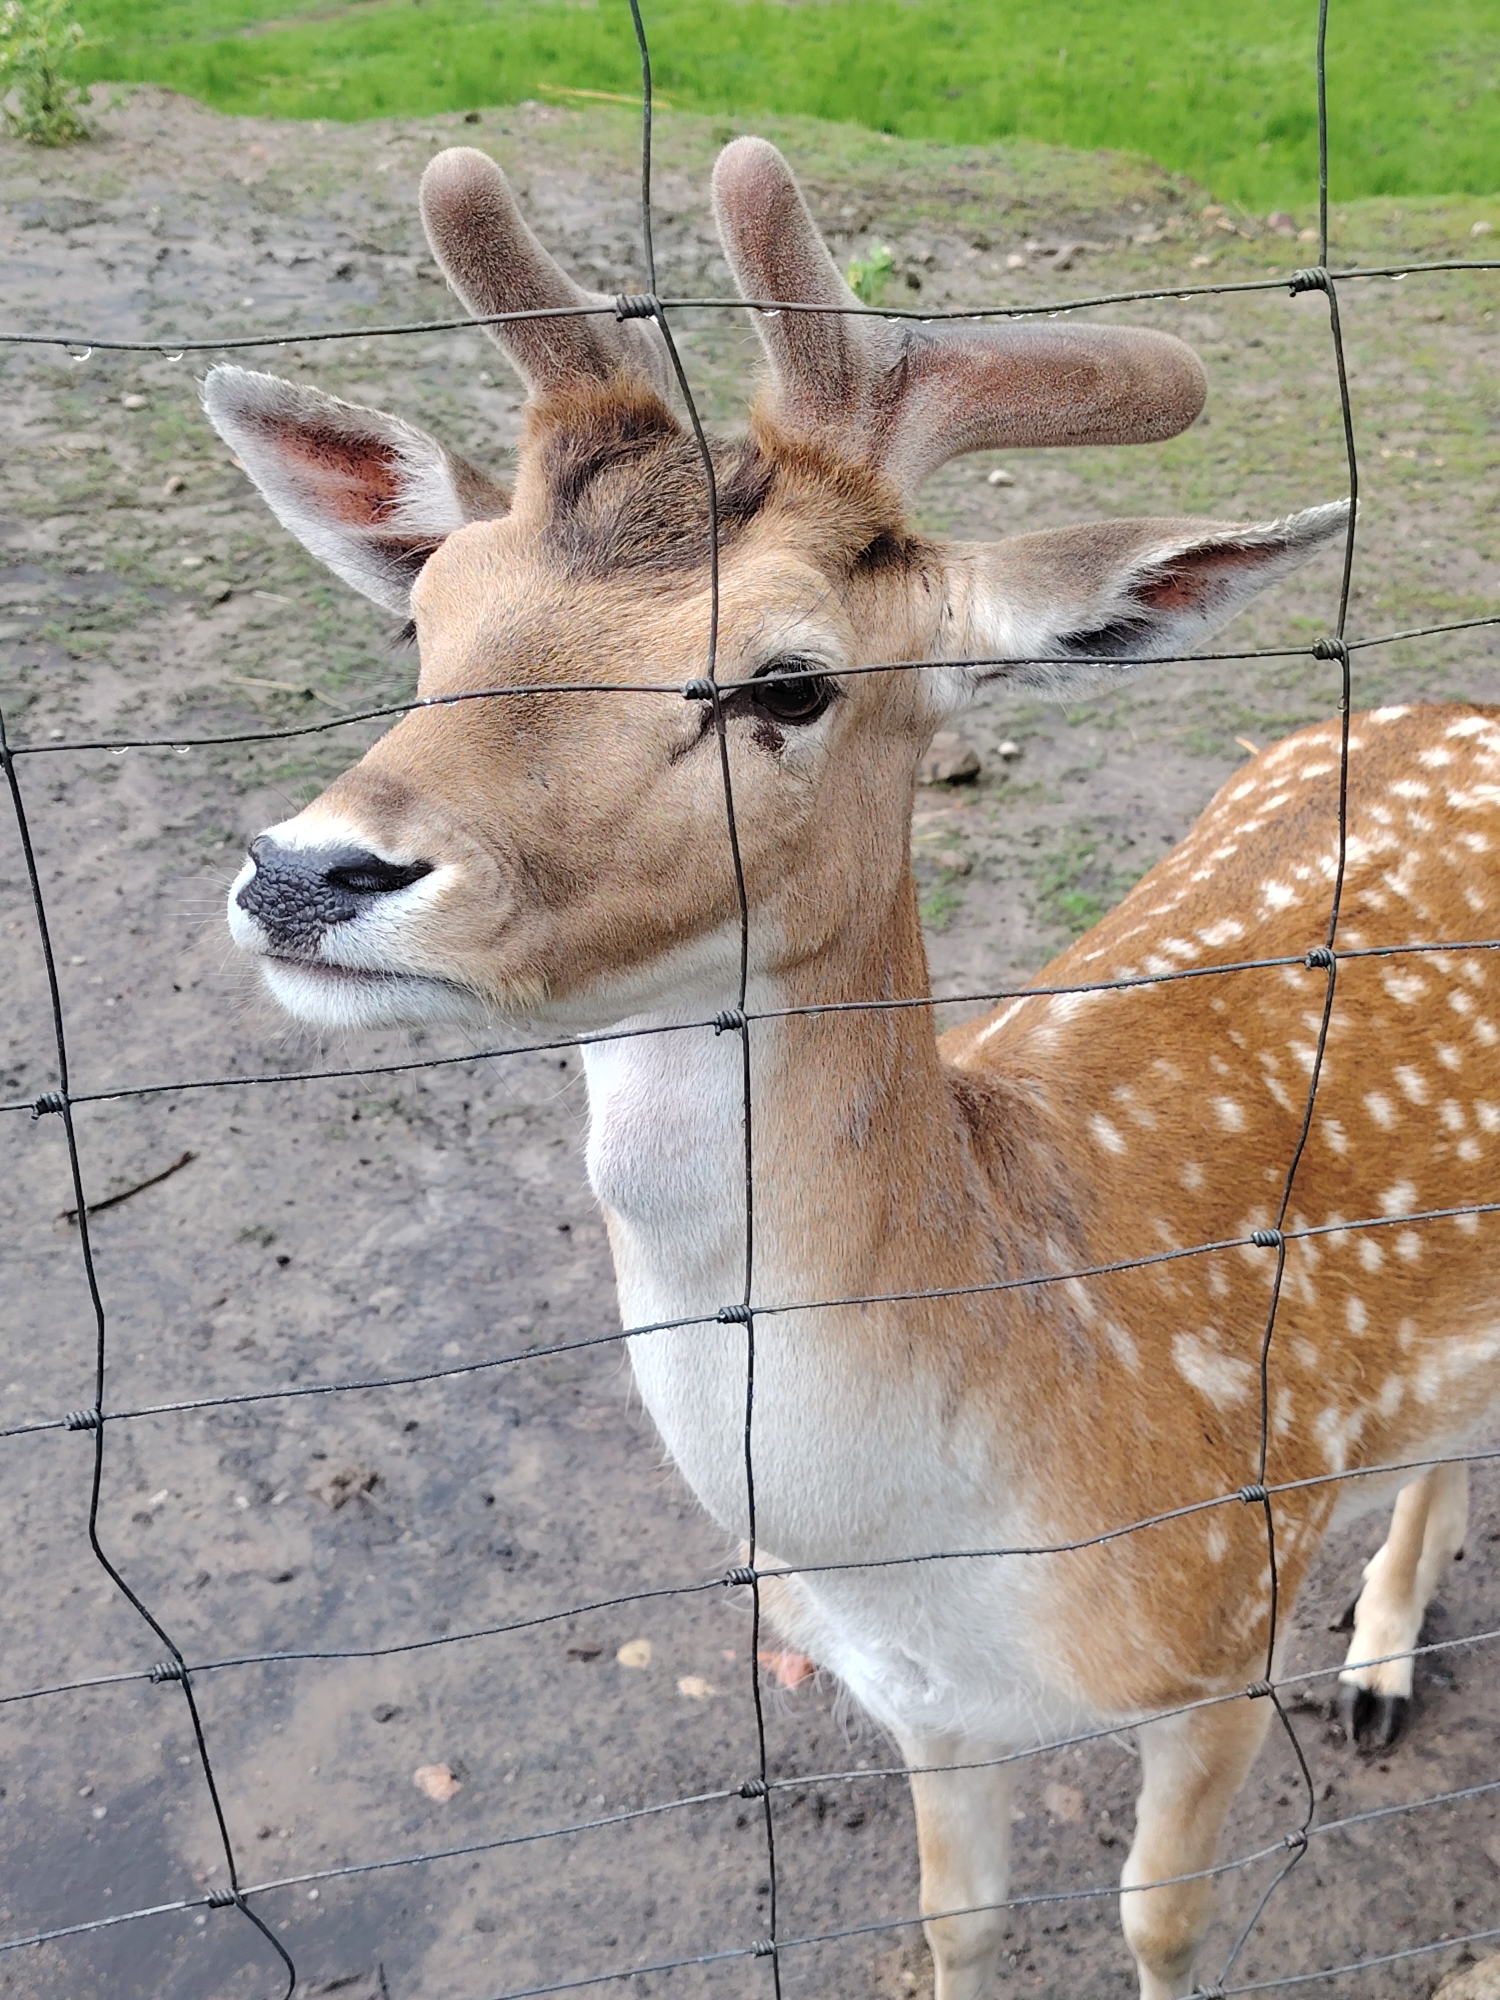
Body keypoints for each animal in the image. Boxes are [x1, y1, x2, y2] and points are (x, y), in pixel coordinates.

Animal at [203, 138, 1497, 2000]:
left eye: (788, 682)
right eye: (428, 622)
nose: (306, 871)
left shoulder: (1225, 1626)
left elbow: (1157, 1922)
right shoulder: (918, 1708)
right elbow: (955, 1919)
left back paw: (1382, 1667)